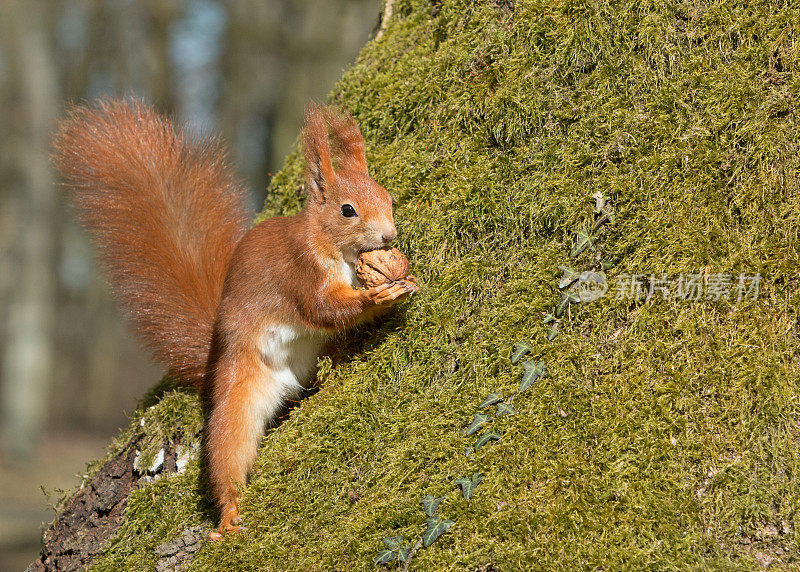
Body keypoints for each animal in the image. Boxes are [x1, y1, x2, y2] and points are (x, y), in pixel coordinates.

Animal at [53, 96, 418, 540]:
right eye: (348, 210)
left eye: (388, 197)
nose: (389, 236)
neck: (331, 245)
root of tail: (216, 364)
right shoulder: (299, 270)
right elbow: (322, 309)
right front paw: (377, 296)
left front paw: (401, 277)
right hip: (238, 395)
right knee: (227, 451)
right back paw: (228, 512)